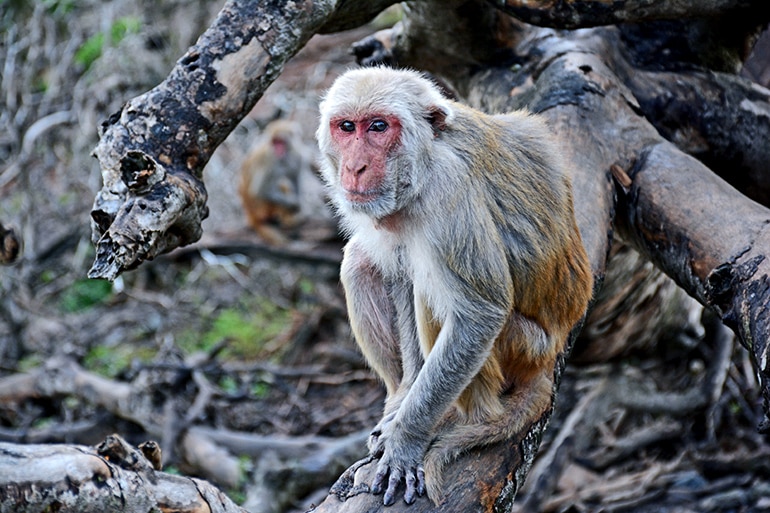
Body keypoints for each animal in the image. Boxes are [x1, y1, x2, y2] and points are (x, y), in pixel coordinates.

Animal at [316, 67, 592, 504]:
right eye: (347, 127)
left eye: (378, 127)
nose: (355, 168)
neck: (424, 161)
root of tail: (550, 357)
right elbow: (400, 276)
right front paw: (406, 398)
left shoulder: (448, 193)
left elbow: (479, 315)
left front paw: (406, 440)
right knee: (363, 261)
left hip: (521, 346)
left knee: (441, 296)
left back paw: (466, 419)